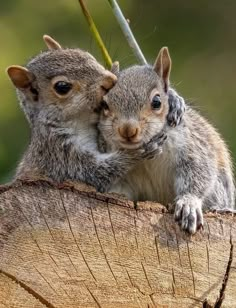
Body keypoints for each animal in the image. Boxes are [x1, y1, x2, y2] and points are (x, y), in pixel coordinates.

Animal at [6, 36, 185, 192]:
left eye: (88, 56)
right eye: (62, 87)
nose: (110, 79)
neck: (82, 121)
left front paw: (174, 100)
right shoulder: (59, 156)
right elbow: (95, 172)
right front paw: (137, 152)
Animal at [98, 46, 235, 233]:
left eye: (157, 102)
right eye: (104, 104)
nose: (127, 130)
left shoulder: (192, 148)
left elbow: (199, 173)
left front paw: (189, 204)